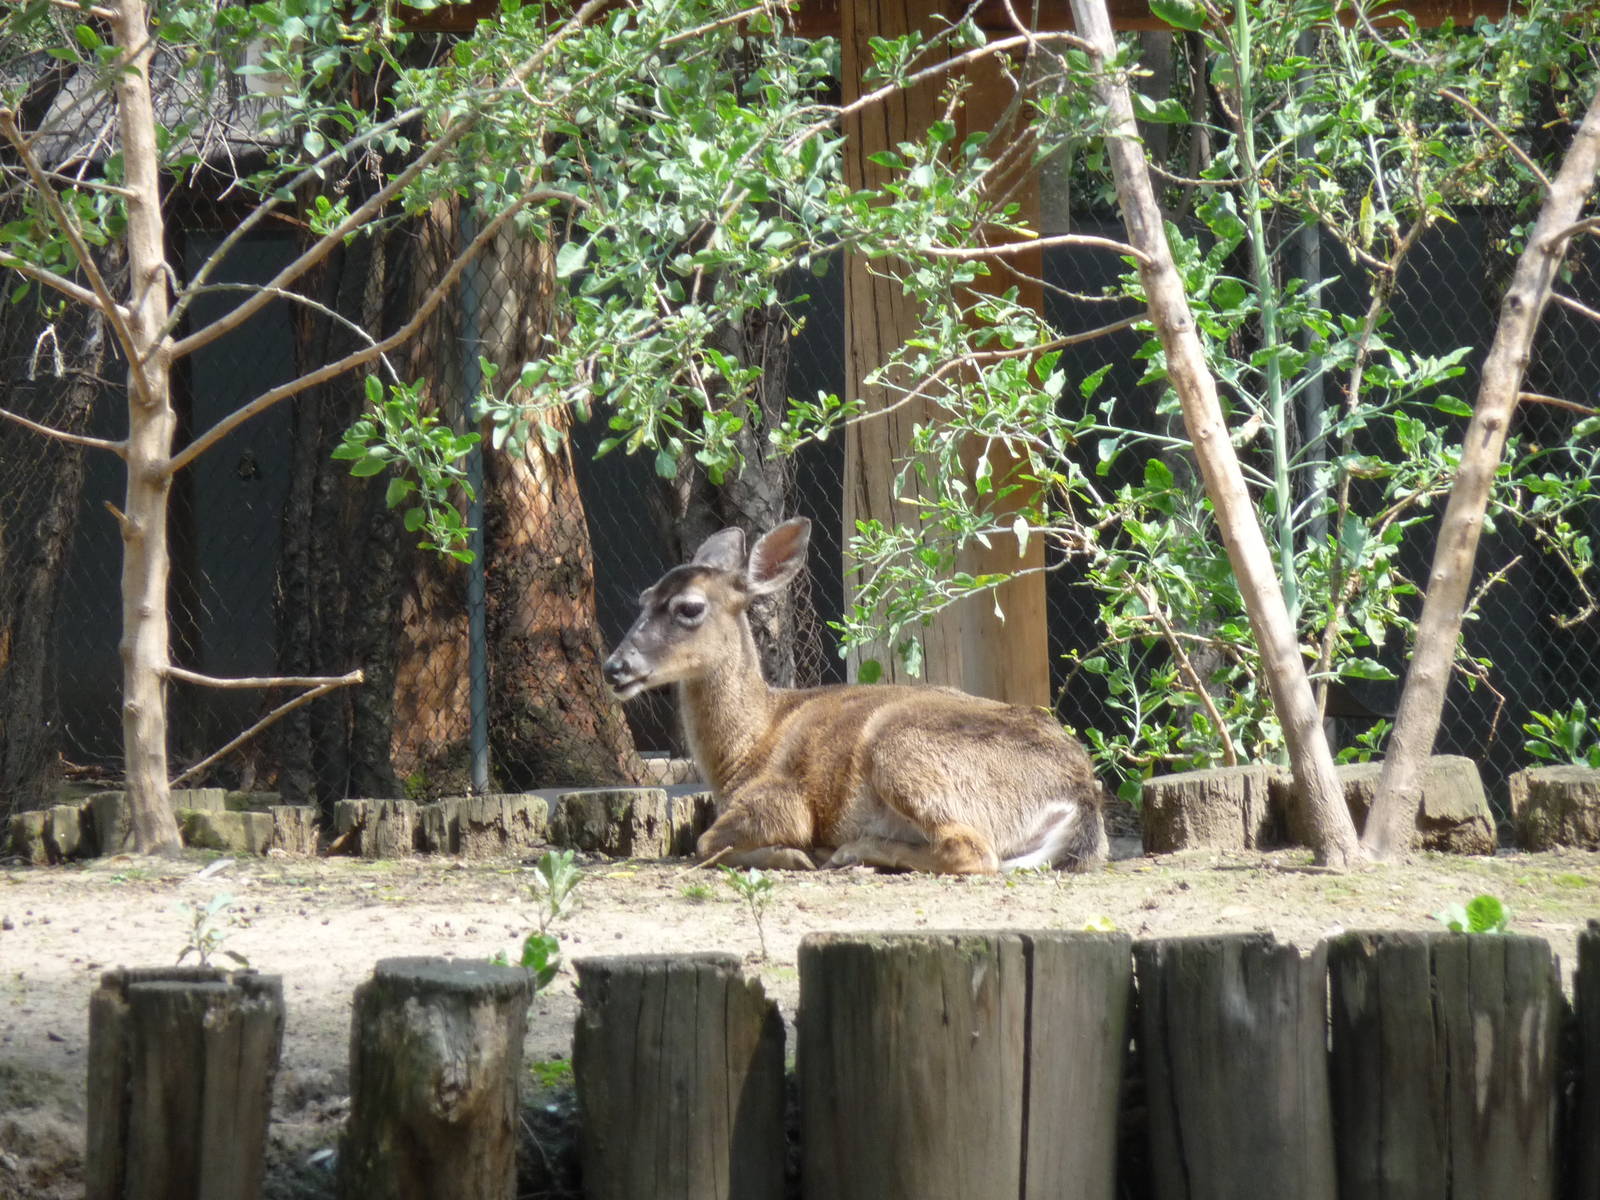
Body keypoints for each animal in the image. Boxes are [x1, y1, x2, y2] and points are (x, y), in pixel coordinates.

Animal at [602, 518, 1108, 875]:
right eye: (644, 597)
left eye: (689, 607)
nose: (614, 667)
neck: (745, 750)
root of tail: (1080, 795)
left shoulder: (782, 797)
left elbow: (705, 843)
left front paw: (793, 855)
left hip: (903, 752)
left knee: (970, 851)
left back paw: (848, 851)